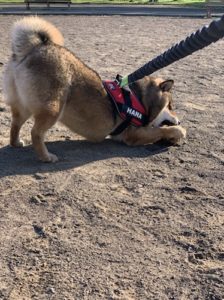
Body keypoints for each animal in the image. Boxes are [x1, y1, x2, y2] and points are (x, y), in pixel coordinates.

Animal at [3, 16, 186, 162]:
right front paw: (178, 130)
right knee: (36, 133)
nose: (179, 120)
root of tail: (35, 48)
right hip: (53, 108)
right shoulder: (134, 134)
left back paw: (16, 143)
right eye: (170, 106)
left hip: (23, 107)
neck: (139, 97)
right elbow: (161, 130)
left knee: (15, 124)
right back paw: (46, 157)